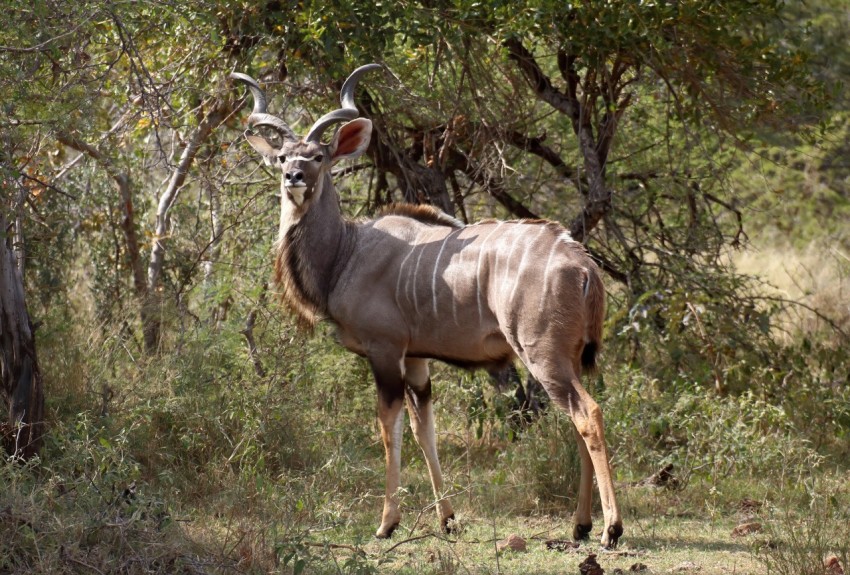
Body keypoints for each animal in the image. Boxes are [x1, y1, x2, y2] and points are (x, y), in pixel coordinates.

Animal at [231, 65, 623, 548]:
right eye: (283, 157)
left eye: (319, 156)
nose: (294, 178)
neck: (346, 252)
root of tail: (583, 263)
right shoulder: (416, 358)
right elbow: (424, 431)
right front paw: (447, 519)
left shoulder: (384, 351)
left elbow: (389, 429)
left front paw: (387, 523)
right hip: (567, 359)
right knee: (580, 417)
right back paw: (580, 524)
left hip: (542, 355)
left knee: (588, 414)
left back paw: (610, 528)